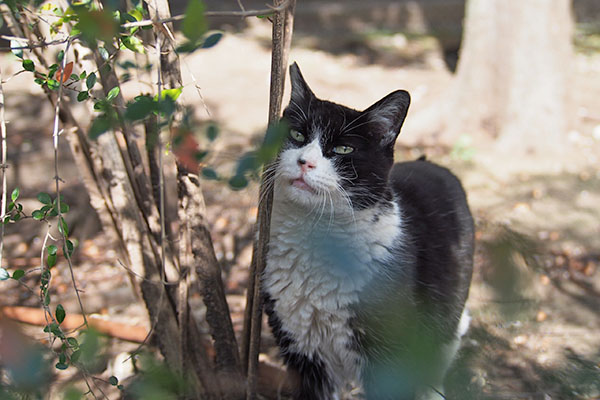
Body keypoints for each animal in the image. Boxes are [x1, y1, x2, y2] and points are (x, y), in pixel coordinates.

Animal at [262, 63, 474, 400]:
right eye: (296, 134)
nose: (305, 162)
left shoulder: (389, 361)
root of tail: (431, 162)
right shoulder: (303, 353)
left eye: (343, 148)